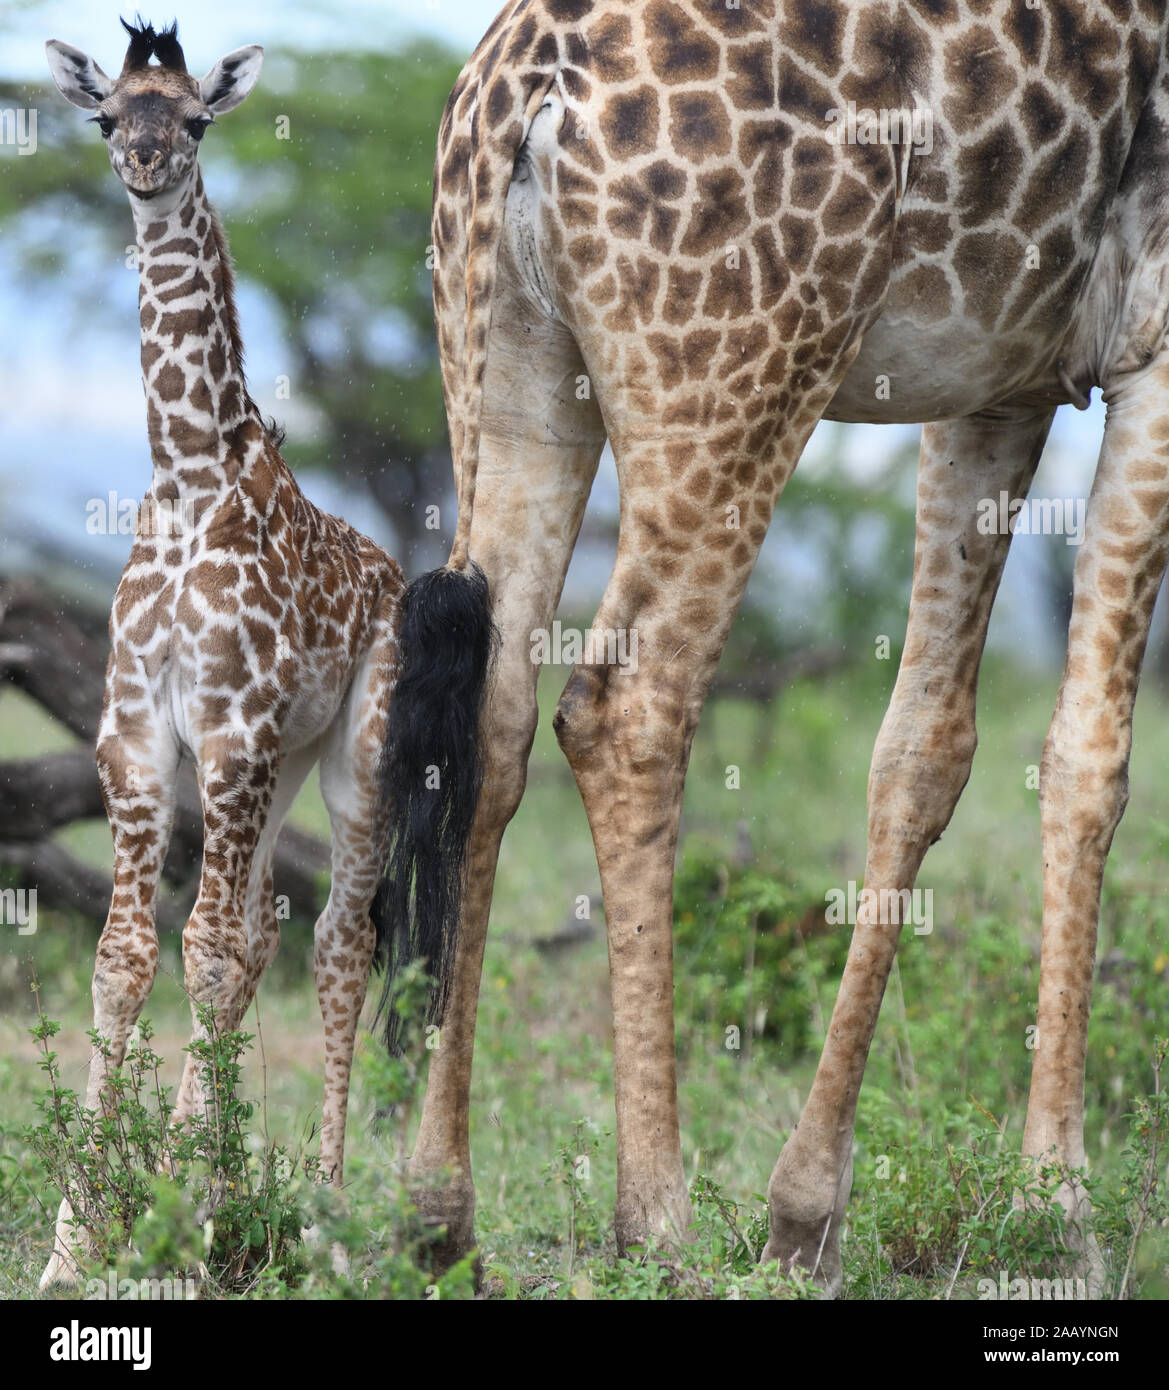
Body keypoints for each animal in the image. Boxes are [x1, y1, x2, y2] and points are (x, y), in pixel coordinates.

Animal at [41, 16, 492, 1284]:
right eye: (110, 114)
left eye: (194, 119)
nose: (143, 166)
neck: (190, 475)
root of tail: (396, 576)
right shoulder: (140, 737)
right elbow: (129, 955)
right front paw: (83, 1241)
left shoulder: (232, 732)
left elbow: (198, 951)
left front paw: (190, 1228)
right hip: (277, 765)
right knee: (253, 940)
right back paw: (223, 1183)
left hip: (352, 760)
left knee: (339, 942)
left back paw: (327, 1215)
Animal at [411, 0, 1156, 1289]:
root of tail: (524, 89)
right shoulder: (1154, 331)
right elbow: (1089, 755)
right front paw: (1057, 1204)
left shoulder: (995, 376)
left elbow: (923, 750)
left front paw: (806, 1211)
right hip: (733, 377)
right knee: (626, 705)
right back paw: (653, 1215)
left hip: (507, 371)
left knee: (492, 715)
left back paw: (438, 1211)